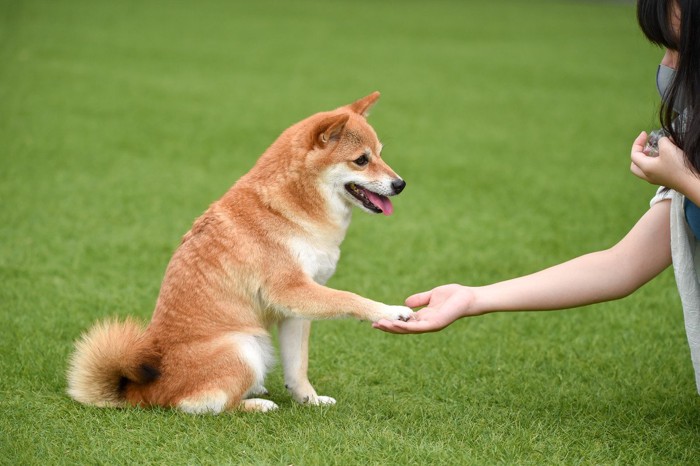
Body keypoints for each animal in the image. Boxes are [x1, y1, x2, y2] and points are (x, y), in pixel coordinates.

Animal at [65, 93, 412, 414]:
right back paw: (256, 404)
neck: (290, 209)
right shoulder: (292, 289)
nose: (400, 184)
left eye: (380, 154)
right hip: (245, 346)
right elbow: (350, 298)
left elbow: (297, 367)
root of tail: (143, 392)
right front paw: (390, 311)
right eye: (361, 160)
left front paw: (309, 400)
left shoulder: (295, 308)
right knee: (204, 405)